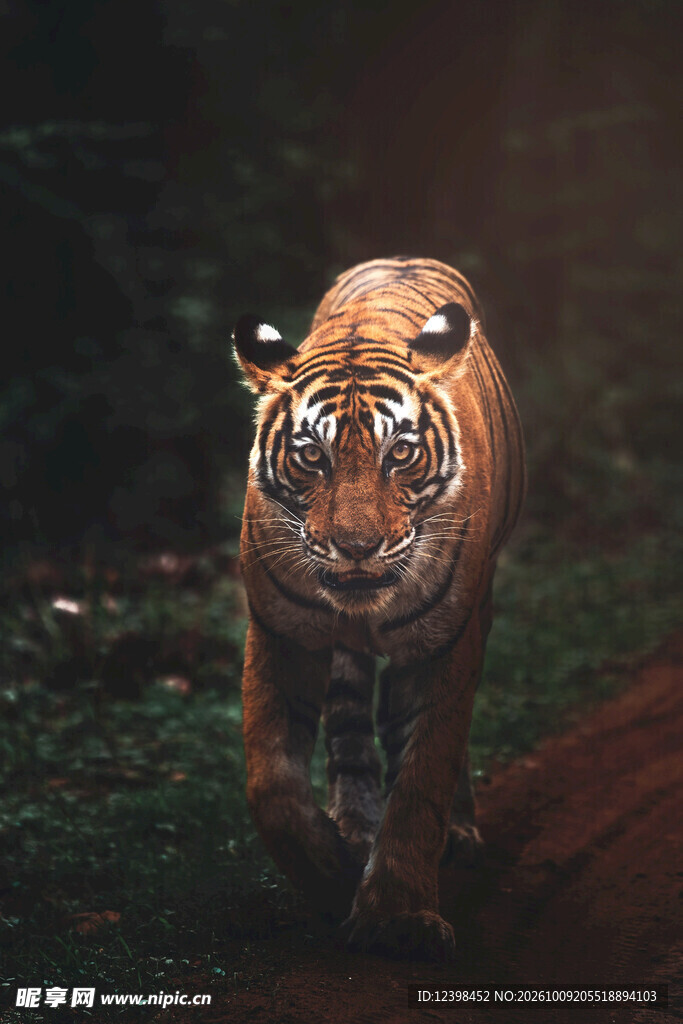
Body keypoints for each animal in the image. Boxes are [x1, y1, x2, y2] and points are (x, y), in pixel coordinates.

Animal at [233, 256, 525, 961]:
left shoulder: (449, 640)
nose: (358, 547)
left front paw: (398, 917)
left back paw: (457, 836)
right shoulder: (281, 630)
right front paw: (333, 875)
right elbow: (272, 784)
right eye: (312, 455)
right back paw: (356, 828)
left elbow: (424, 773)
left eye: (401, 453)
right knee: (349, 720)